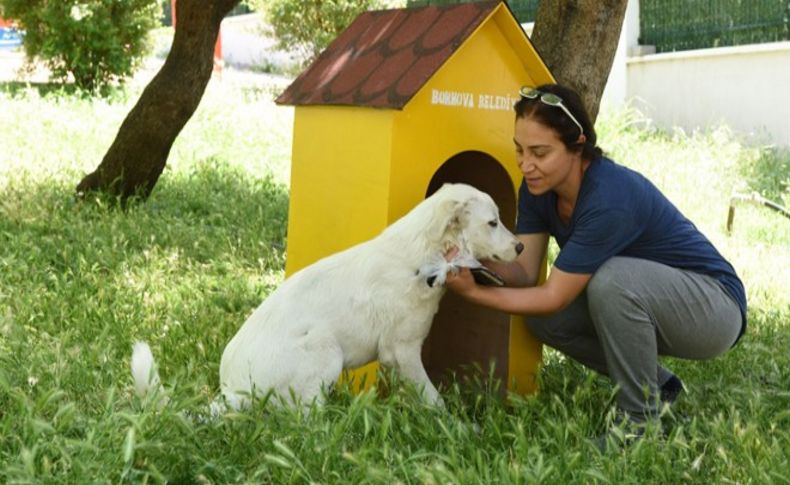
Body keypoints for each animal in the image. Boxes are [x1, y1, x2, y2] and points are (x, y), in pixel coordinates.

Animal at [132, 183, 524, 410]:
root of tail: (231, 393)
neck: (423, 255)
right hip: (325, 349)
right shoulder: (402, 351)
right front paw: (457, 429)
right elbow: (432, 398)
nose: (521, 247)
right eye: (493, 222)